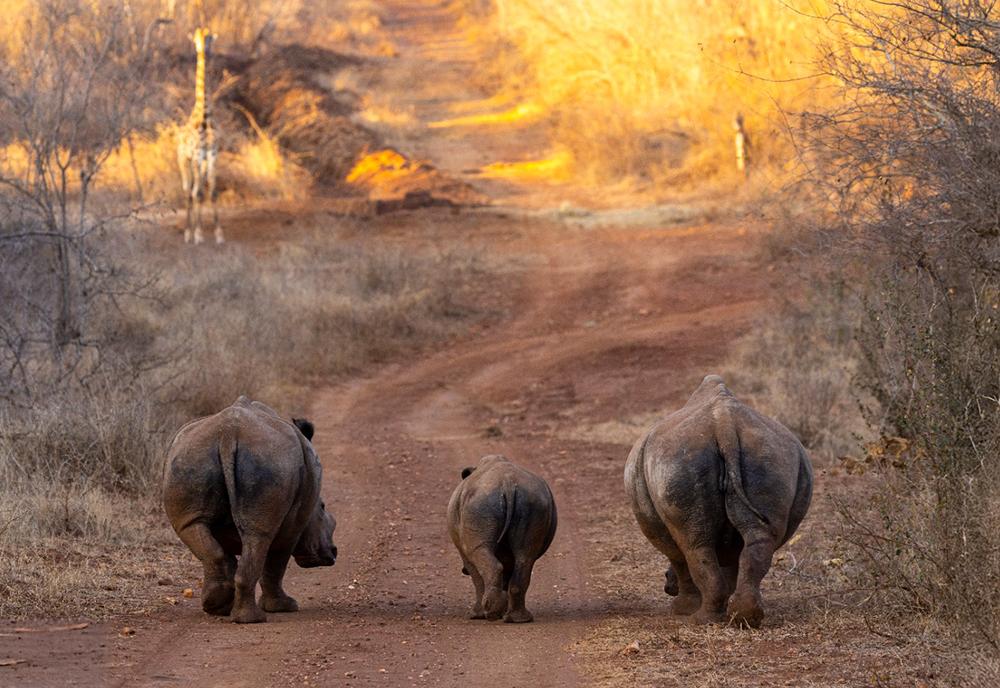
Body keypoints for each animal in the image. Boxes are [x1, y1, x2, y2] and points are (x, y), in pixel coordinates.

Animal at [162, 392, 338, 624]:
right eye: (323, 507)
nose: (333, 552)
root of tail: (228, 434)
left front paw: (222, 604)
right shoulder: (294, 525)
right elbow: (276, 563)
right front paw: (284, 607)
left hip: (189, 457)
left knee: (192, 528)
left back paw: (216, 605)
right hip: (268, 462)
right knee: (259, 536)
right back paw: (251, 619)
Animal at [450, 456, 560, 624]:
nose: (463, 571)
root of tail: (507, 483)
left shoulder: (463, 551)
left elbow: (476, 577)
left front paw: (478, 615)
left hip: (479, 502)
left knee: (479, 552)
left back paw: (490, 613)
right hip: (532, 501)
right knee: (525, 557)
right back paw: (518, 619)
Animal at [624, 376, 812, 628]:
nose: (667, 587)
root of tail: (725, 425)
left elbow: (679, 560)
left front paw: (681, 609)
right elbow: (732, 563)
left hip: (679, 459)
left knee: (695, 545)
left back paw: (700, 619)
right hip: (771, 455)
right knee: (757, 537)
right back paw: (745, 617)